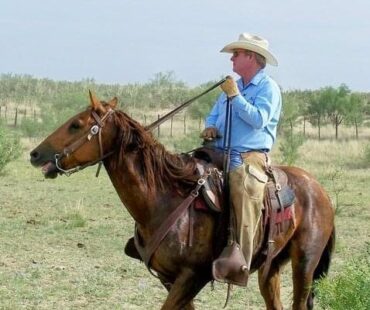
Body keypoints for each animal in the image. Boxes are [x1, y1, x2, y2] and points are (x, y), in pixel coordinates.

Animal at [29, 94, 336, 310]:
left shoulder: (192, 275)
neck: (163, 199)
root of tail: (320, 190)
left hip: (305, 263)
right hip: (270, 267)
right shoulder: (169, 278)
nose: (35, 154)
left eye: (76, 124)